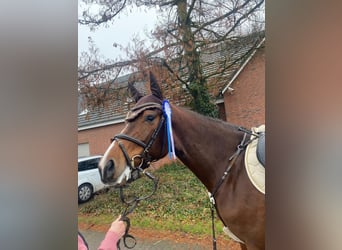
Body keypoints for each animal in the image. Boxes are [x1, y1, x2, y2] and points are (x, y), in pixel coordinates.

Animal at [99, 72, 264, 250]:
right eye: (126, 121)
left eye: (149, 117)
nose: (105, 166)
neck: (233, 170)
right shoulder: (242, 241)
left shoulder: (254, 242)